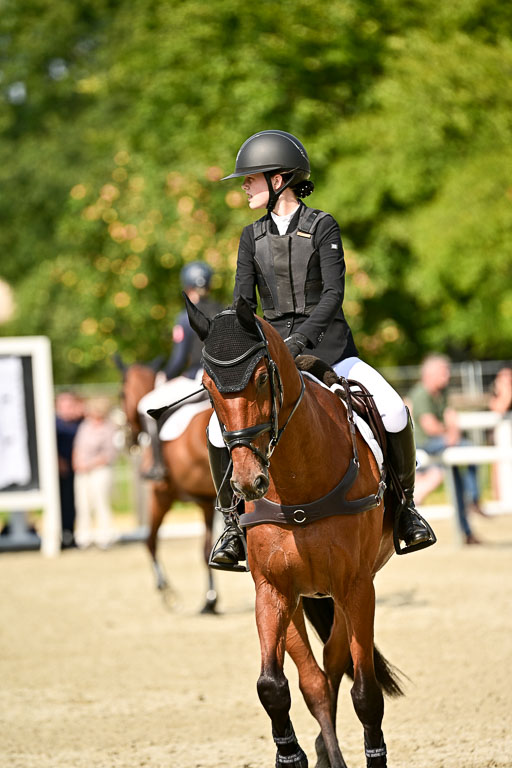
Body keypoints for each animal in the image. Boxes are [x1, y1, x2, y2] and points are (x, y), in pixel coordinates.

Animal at [113, 354, 218, 614]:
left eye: (121, 393)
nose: (126, 440)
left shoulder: (161, 496)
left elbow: (149, 540)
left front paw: (166, 591)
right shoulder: (206, 500)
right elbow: (206, 550)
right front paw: (210, 600)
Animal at [186, 295, 405, 768]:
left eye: (261, 377)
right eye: (208, 386)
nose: (248, 482)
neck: (297, 480)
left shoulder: (356, 586)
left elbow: (366, 693)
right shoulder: (272, 589)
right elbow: (274, 685)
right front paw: (291, 755)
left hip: (344, 592)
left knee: (335, 663)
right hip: (303, 597)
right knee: (315, 677)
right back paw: (323, 751)